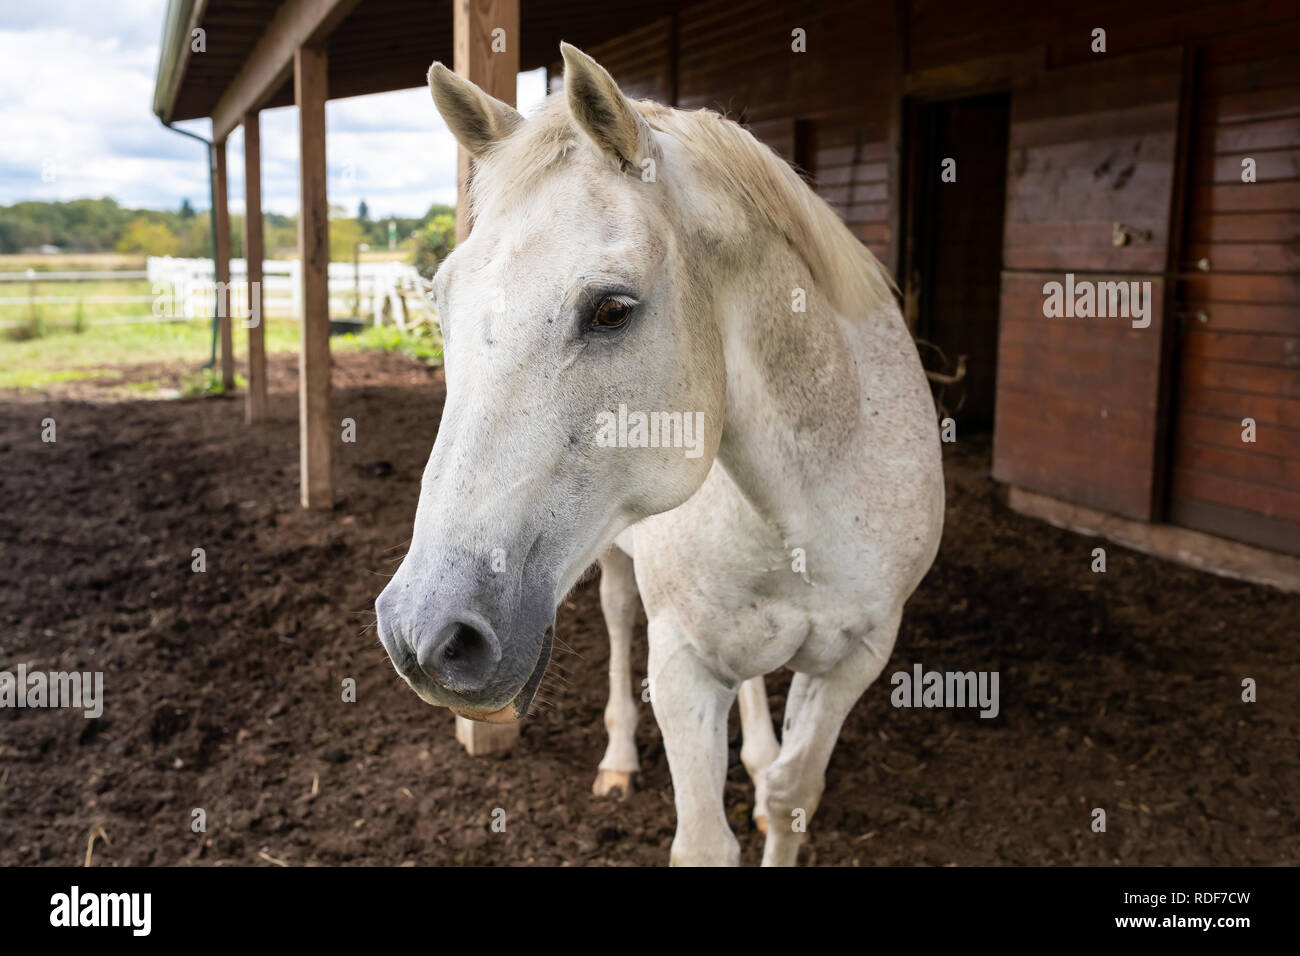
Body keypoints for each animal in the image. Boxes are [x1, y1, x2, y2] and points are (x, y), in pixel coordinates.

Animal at [374, 42, 945, 866]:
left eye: (612, 309)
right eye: (441, 302)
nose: (424, 636)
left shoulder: (858, 657)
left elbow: (793, 796)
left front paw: (770, 785)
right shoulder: (681, 667)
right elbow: (704, 840)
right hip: (615, 562)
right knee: (618, 619)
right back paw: (618, 761)